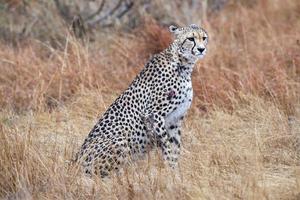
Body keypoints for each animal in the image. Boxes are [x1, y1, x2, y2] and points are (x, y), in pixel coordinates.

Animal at [75, 23, 209, 177]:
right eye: (191, 39)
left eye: (204, 38)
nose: (201, 49)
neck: (183, 64)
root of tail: (75, 162)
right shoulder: (153, 114)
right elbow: (167, 147)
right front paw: (170, 173)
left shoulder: (175, 119)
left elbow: (175, 148)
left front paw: (176, 174)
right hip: (119, 141)